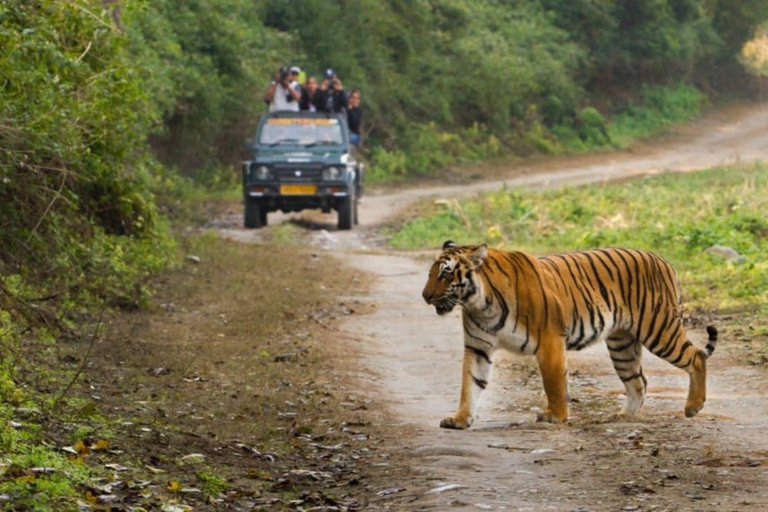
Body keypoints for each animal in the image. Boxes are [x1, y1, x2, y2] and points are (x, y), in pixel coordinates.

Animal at [416, 240, 716, 428]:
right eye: (431, 273)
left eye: (445, 274)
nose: (425, 296)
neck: (479, 303)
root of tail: (662, 260)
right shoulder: (478, 347)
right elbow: (470, 384)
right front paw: (460, 419)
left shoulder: (549, 340)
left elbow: (553, 382)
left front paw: (556, 416)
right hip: (622, 344)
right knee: (638, 381)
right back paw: (623, 416)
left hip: (659, 328)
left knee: (697, 357)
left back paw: (693, 406)